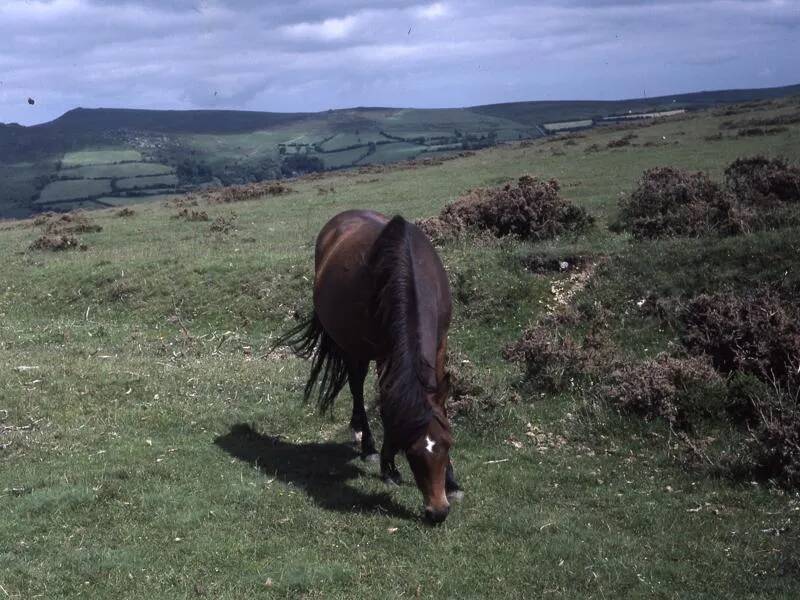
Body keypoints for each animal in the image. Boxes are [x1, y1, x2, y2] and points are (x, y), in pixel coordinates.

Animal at [276, 209, 460, 524]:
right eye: (411, 453)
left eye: (447, 444)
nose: (438, 512)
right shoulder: (386, 351)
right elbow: (387, 404)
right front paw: (388, 467)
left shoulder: (440, 344)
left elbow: (440, 405)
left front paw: (452, 481)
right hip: (354, 348)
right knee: (357, 387)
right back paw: (367, 444)